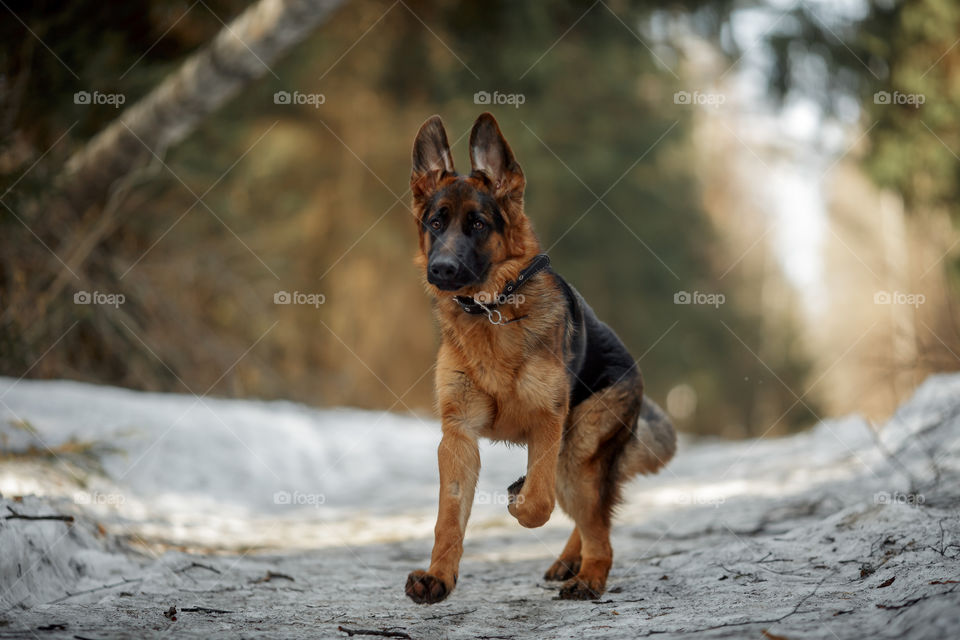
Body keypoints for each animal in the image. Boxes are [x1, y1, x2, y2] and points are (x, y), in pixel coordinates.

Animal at [404, 112, 676, 604]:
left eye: (477, 224)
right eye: (435, 222)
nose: (442, 270)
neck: (493, 310)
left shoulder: (546, 424)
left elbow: (538, 503)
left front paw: (519, 498)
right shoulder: (458, 437)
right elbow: (447, 520)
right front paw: (438, 577)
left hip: (577, 454)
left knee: (597, 525)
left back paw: (589, 576)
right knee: (593, 520)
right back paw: (572, 562)